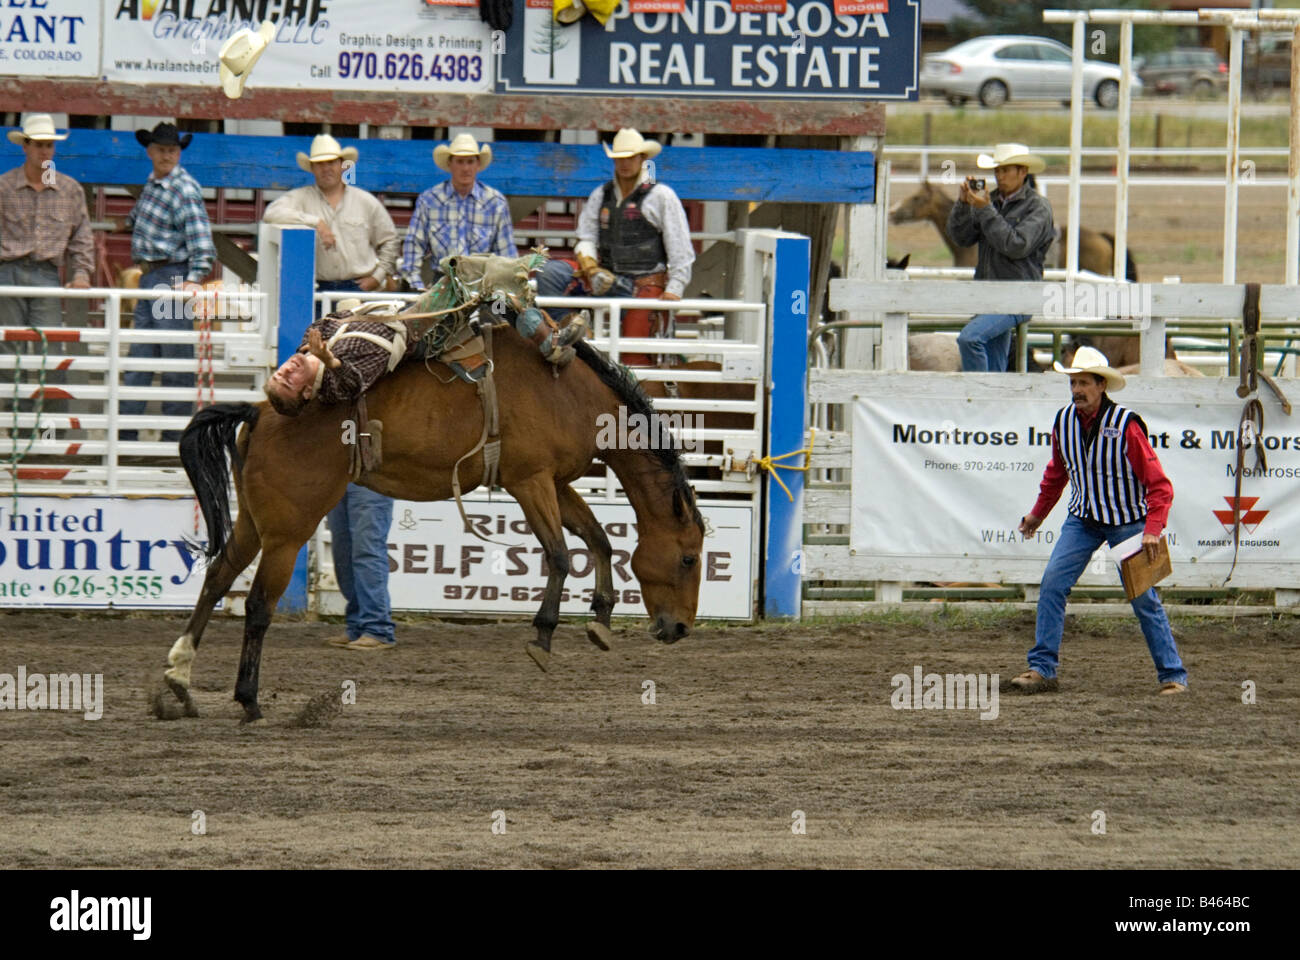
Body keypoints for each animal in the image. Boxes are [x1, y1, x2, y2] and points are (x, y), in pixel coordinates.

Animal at [167, 333, 712, 723]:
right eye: (688, 558)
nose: (681, 629)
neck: (572, 395)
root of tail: (261, 412)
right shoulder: (530, 480)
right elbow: (558, 552)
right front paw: (542, 636)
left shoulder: (555, 482)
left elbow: (597, 538)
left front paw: (599, 618)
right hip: (288, 529)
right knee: (258, 604)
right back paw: (248, 701)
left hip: (254, 522)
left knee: (218, 578)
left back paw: (178, 683)